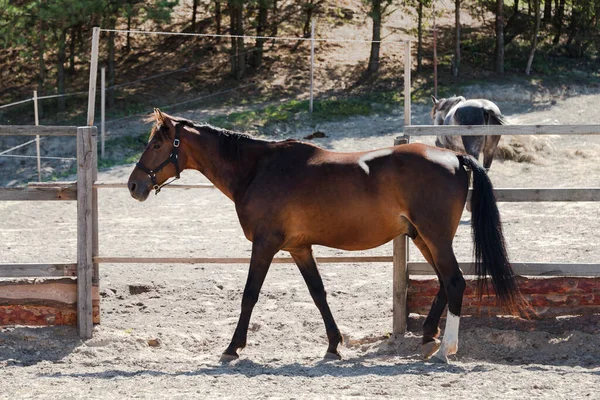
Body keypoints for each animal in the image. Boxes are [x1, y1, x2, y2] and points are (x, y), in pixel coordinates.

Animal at [127, 108, 524, 362]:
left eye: (157, 145)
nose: (134, 185)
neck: (257, 169)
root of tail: (455, 157)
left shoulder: (266, 245)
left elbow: (249, 295)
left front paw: (232, 348)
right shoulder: (300, 248)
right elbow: (318, 295)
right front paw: (334, 345)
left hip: (434, 237)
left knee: (455, 282)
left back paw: (446, 350)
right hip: (422, 237)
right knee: (444, 282)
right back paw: (428, 338)